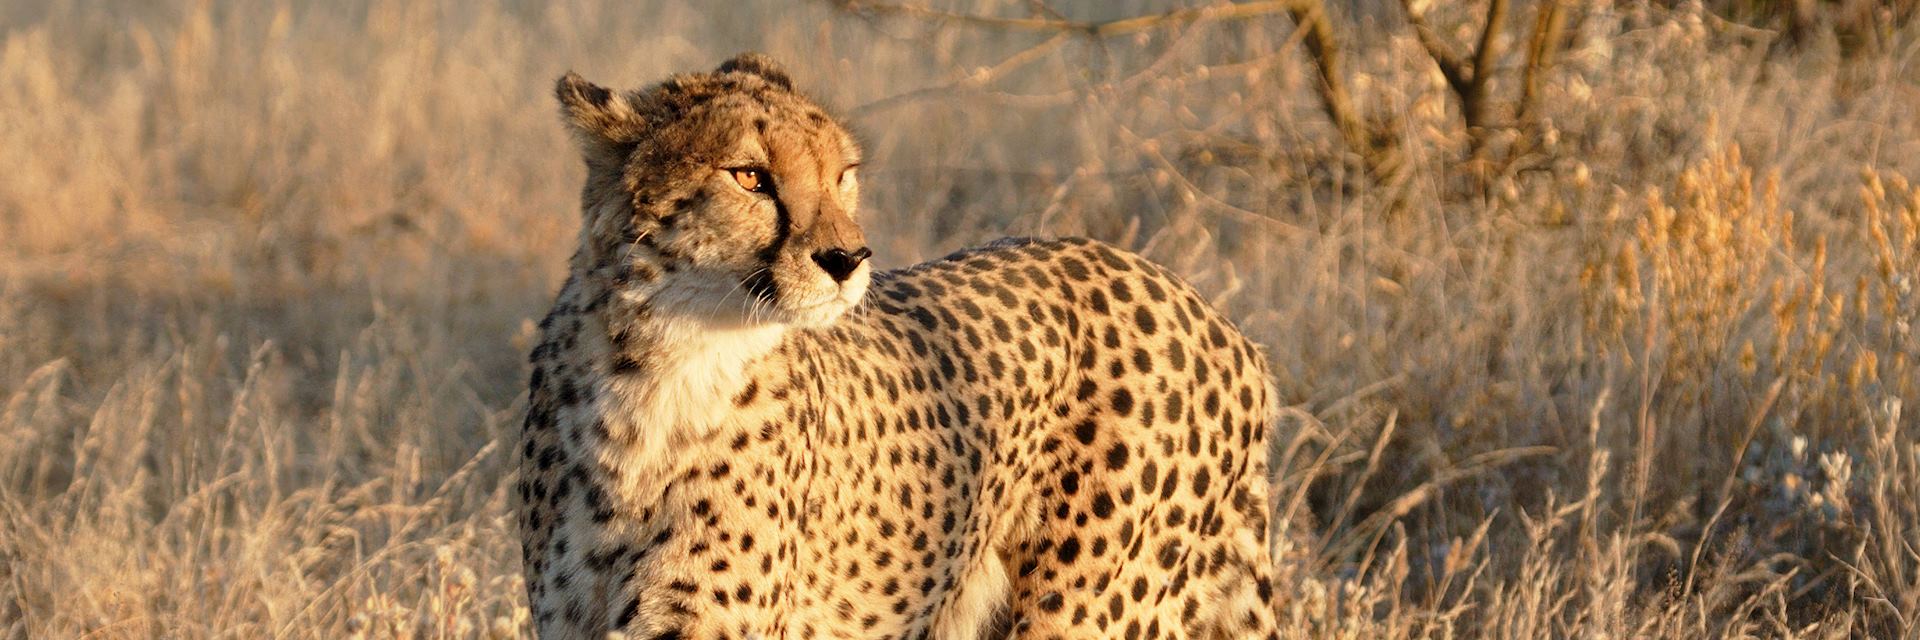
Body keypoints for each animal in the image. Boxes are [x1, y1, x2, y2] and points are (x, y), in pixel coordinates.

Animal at [518, 52, 1282, 634]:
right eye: (749, 176)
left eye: (842, 175)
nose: (848, 258)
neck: (651, 371)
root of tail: (1224, 324)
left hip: (1086, 608)